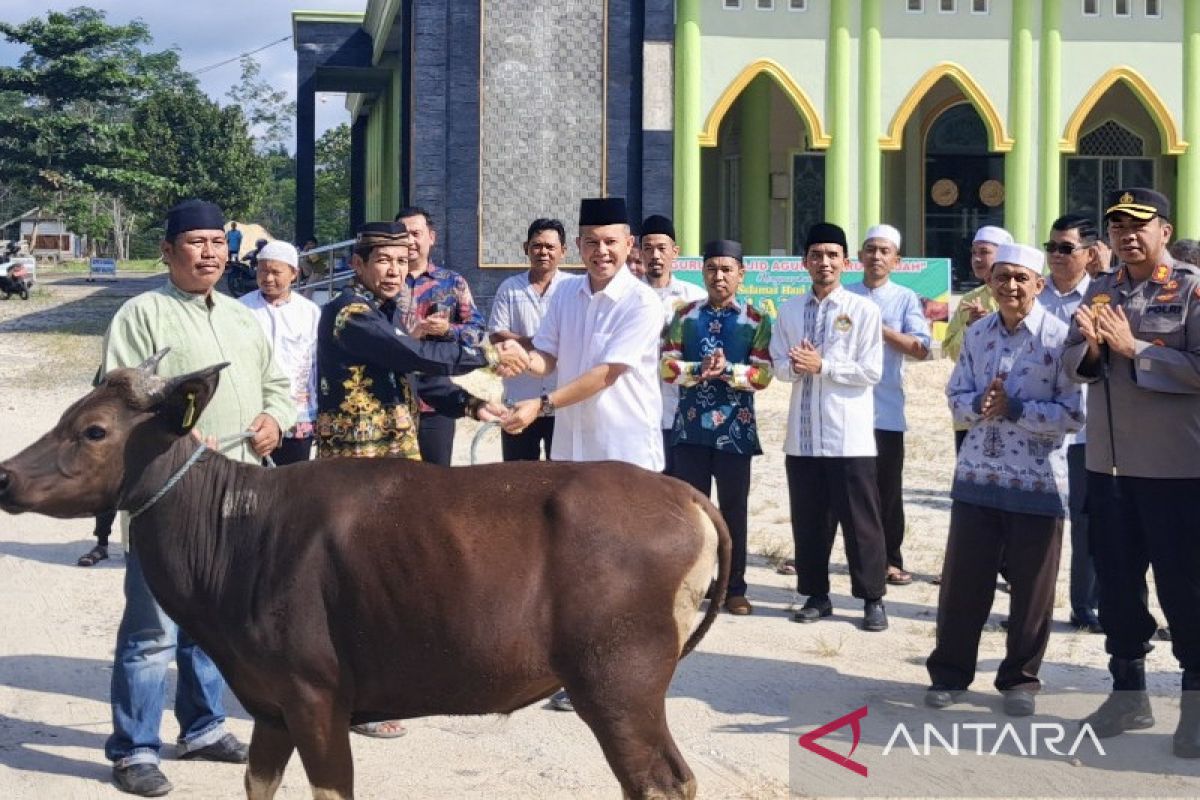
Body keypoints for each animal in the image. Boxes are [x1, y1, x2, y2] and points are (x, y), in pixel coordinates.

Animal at [0, 357, 729, 800]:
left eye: (93, 429)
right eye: (70, 414)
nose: (4, 475)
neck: (240, 534)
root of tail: (683, 492)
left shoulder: (316, 698)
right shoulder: (271, 705)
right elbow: (259, 785)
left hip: (618, 682)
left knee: (662, 781)